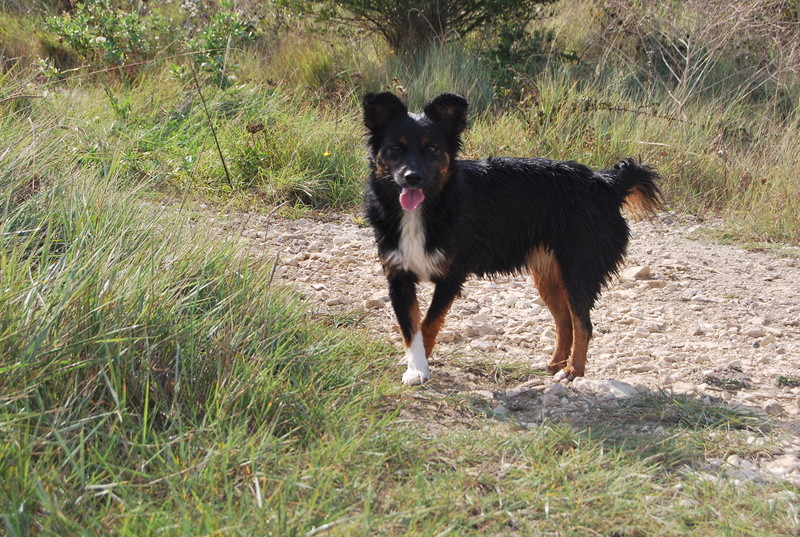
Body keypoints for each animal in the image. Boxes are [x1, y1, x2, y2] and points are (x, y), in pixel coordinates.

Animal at [362, 93, 664, 386]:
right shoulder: (398, 276)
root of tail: (606, 183)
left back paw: (572, 371)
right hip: (549, 275)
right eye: (395, 148)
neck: (425, 209)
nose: (412, 178)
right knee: (565, 322)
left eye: (432, 149)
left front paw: (421, 366)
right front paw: (415, 367)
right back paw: (555, 364)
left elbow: (428, 324)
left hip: (579, 270)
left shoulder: (451, 276)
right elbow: (411, 329)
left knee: (583, 325)